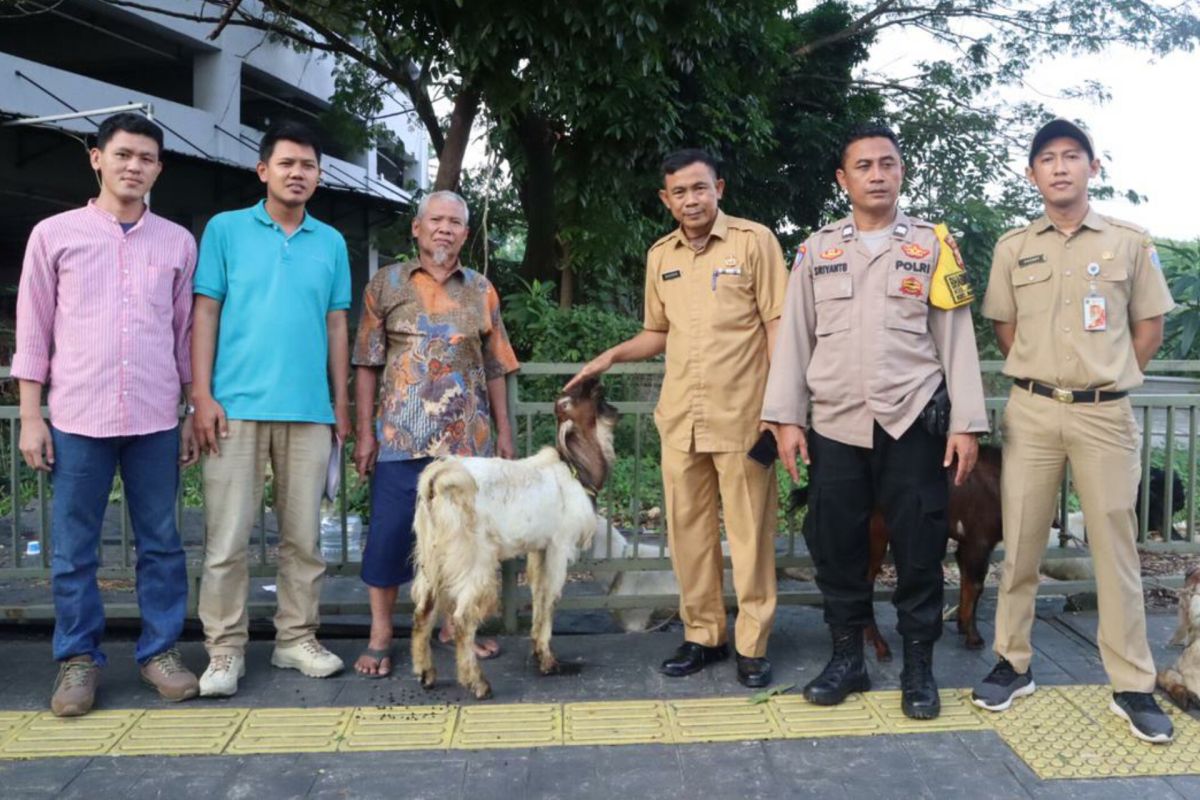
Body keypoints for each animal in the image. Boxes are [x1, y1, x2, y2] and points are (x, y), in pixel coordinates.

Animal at [412, 379, 619, 695]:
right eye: (588, 395)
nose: (595, 380)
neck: (574, 471)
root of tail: (437, 481)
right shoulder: (560, 545)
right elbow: (551, 596)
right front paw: (547, 661)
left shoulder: (540, 548)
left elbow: (538, 593)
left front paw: (537, 650)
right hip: (473, 557)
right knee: (463, 618)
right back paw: (478, 683)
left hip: (431, 554)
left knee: (423, 609)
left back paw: (426, 674)